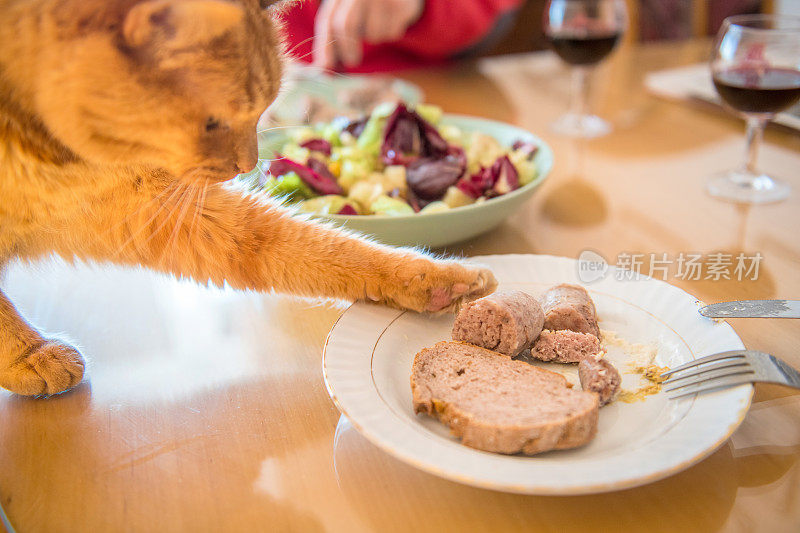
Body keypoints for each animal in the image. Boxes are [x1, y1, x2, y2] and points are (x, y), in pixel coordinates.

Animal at [0, 0, 496, 396]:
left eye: (265, 106)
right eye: (213, 123)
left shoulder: (156, 207)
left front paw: (441, 281)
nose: (250, 164)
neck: (52, 157)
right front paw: (29, 355)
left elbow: (324, 250)